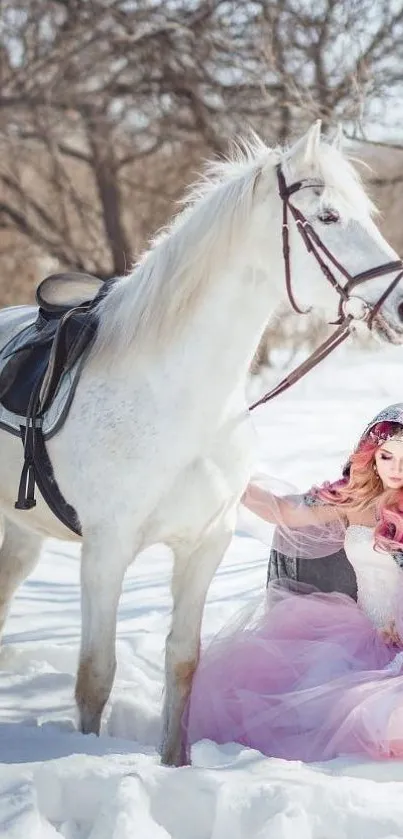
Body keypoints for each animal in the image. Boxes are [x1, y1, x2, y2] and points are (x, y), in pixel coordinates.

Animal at [0, 120, 403, 768]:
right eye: (330, 216)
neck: (174, 398)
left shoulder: (204, 544)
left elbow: (184, 662)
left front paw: (176, 763)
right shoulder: (105, 551)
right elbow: (95, 675)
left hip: (21, 533)